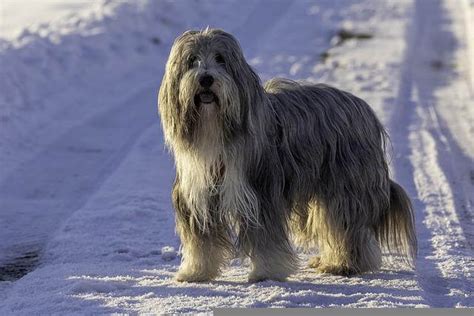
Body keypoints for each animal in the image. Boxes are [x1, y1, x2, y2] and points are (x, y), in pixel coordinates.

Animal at [158, 29, 414, 282]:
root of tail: (365, 110)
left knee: (346, 226)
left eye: (221, 59)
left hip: (345, 186)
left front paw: (266, 273)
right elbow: (201, 242)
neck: (215, 131)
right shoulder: (198, 197)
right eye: (192, 60)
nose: (206, 79)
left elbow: (266, 240)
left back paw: (345, 264)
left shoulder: (261, 193)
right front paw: (196, 272)